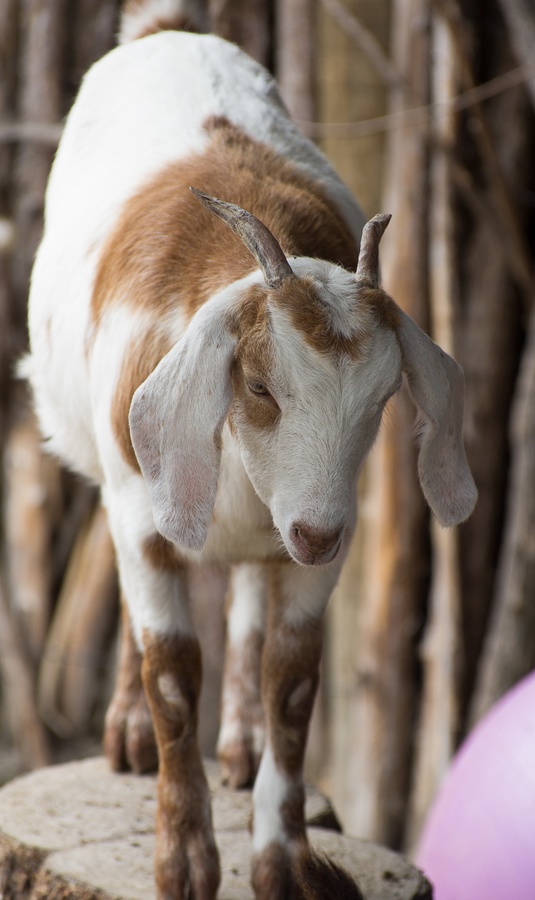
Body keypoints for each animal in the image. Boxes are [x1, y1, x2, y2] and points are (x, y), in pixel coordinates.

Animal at [24, 1, 478, 900]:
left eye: (383, 399)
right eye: (261, 387)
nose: (315, 533)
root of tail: (166, 27)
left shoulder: (320, 546)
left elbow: (293, 682)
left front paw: (285, 862)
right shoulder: (146, 510)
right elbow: (171, 669)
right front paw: (184, 863)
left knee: (242, 594)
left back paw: (238, 743)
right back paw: (128, 734)